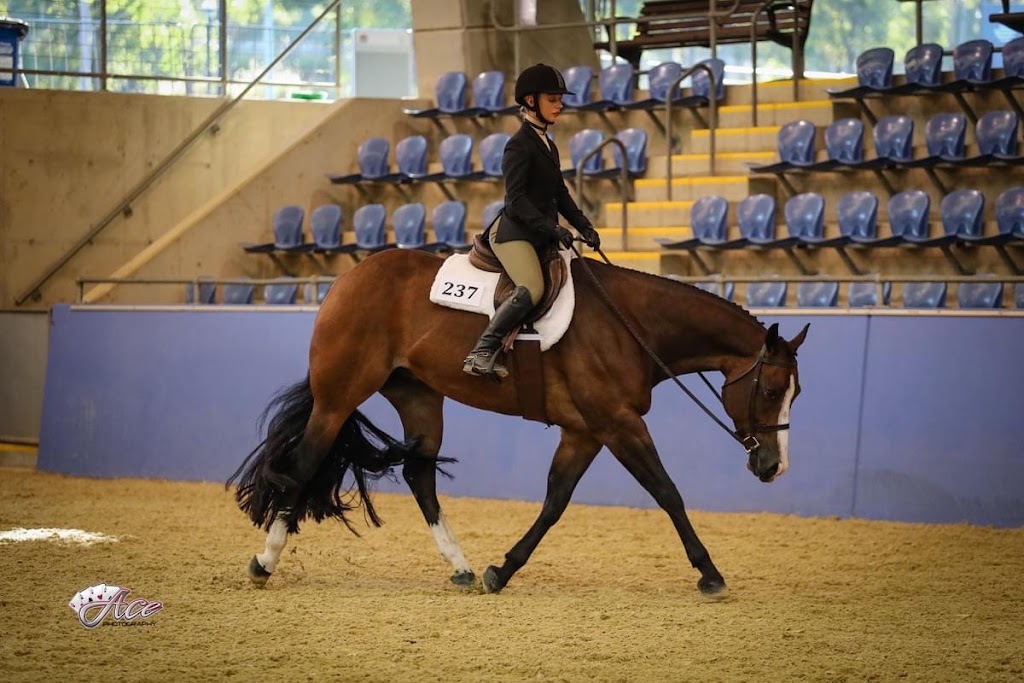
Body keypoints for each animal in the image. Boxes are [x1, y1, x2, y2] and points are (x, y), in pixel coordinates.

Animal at [228, 247, 809, 595]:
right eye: (771, 390)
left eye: (795, 395)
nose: (773, 467)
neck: (630, 325)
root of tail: (348, 277)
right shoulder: (618, 425)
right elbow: (667, 492)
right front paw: (710, 573)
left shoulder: (586, 431)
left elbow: (554, 502)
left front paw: (501, 570)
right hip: (339, 396)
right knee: (303, 464)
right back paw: (264, 562)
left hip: (419, 398)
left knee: (419, 474)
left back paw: (462, 567)